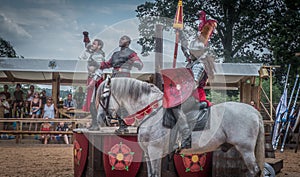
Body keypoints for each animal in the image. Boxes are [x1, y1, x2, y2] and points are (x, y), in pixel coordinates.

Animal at [95, 77, 264, 177]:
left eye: (104, 95)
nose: (101, 118)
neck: (152, 112)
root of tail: (254, 111)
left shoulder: (155, 151)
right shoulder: (148, 154)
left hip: (246, 149)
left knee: (255, 171)